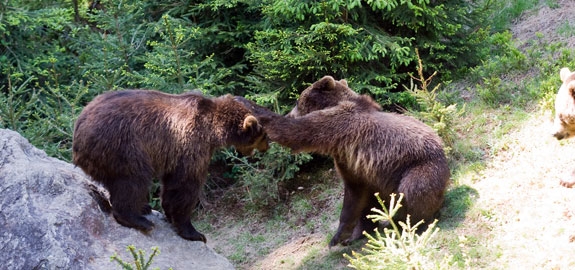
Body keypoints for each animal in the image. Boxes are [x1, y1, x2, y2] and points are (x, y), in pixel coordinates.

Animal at [72, 89, 270, 242]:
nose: (267, 148)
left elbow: (171, 185)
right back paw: (139, 220)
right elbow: (184, 186)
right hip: (121, 145)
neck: (212, 130)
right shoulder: (190, 145)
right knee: (133, 179)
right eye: (264, 135)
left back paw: (143, 208)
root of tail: (79, 128)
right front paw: (194, 232)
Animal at [237, 76, 450, 247]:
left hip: (419, 168)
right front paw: (350, 235)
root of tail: (443, 150)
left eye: (298, 100)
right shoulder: (352, 163)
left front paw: (244, 101)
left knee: (412, 191)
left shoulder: (338, 126)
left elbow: (294, 131)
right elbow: (358, 198)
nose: (289, 112)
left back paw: (407, 222)